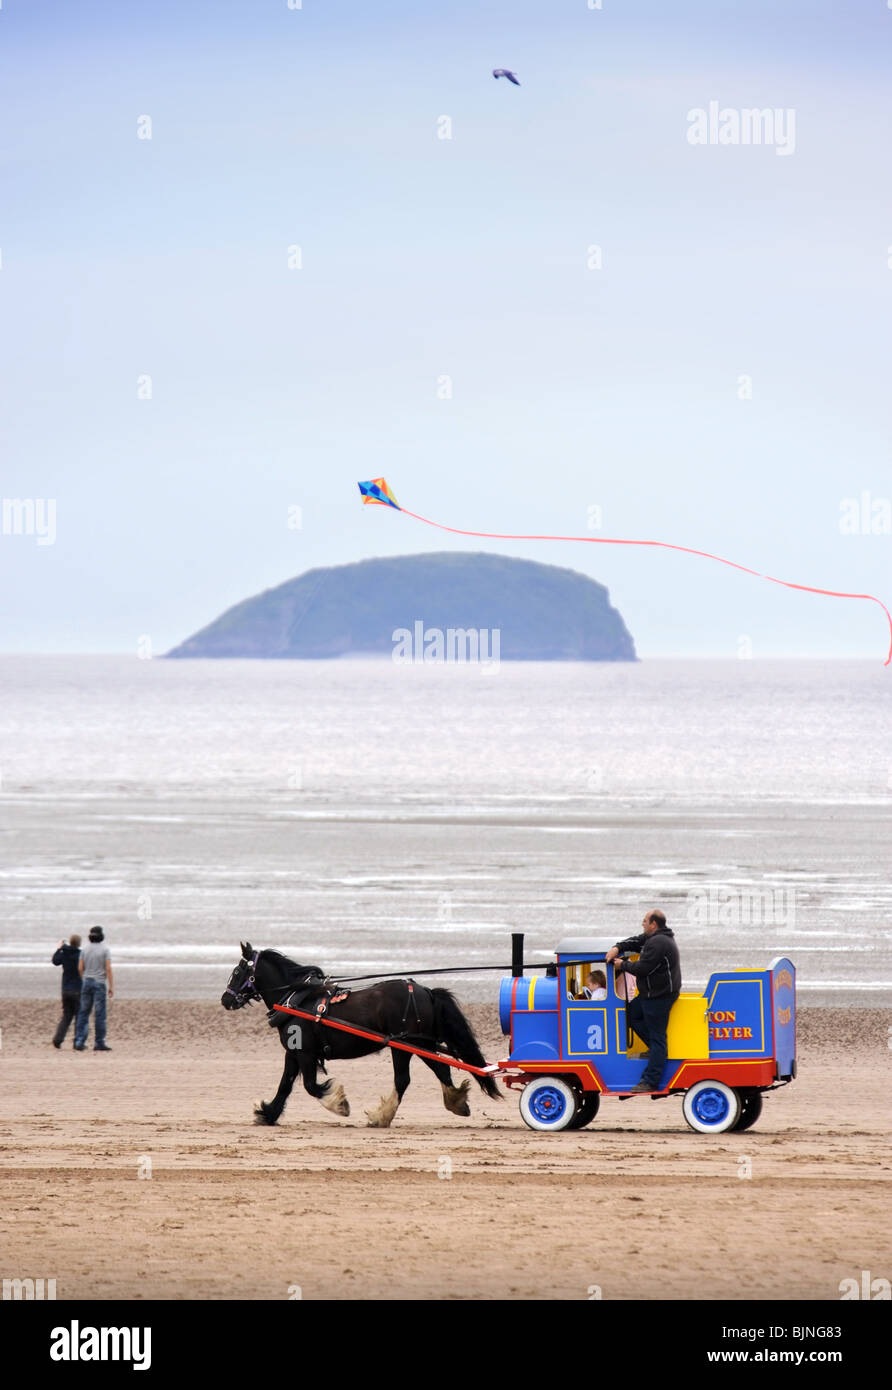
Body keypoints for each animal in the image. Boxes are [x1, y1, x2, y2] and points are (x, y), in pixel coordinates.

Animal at [219, 945, 497, 1128]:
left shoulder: (305, 1052)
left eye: (236, 972)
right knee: (441, 1069)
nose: (225, 1000)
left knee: (403, 1080)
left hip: (403, 1044)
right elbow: (285, 1085)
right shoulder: (294, 1051)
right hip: (421, 1043)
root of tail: (424, 991)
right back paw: (456, 1101)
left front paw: (339, 1104)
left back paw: (381, 1116)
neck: (297, 998)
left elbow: (310, 1086)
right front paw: (268, 1113)